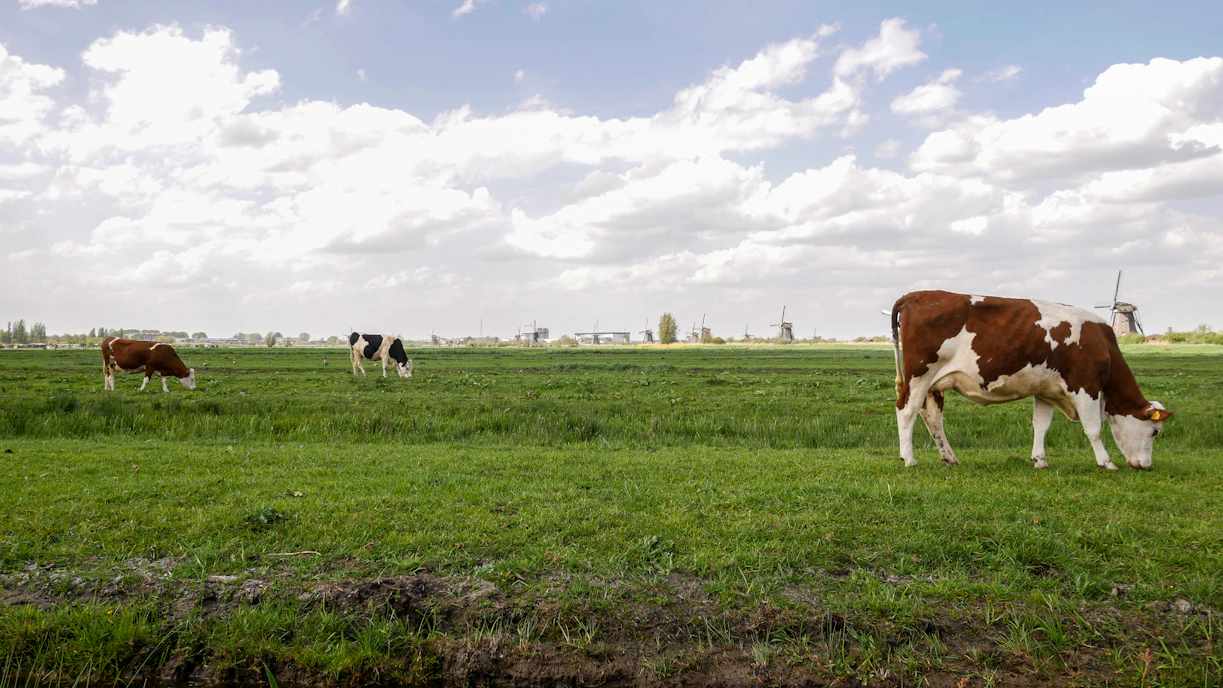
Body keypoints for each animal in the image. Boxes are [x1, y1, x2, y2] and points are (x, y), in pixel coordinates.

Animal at [891, 291, 1172, 470]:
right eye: (1155, 431)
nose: (1146, 466)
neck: (1103, 344)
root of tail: (916, 295)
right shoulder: (1086, 386)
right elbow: (1094, 429)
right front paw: (1106, 462)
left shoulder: (1046, 390)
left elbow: (1041, 426)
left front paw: (1040, 460)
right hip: (919, 376)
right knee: (906, 411)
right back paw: (909, 459)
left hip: (934, 384)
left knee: (932, 418)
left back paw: (949, 458)